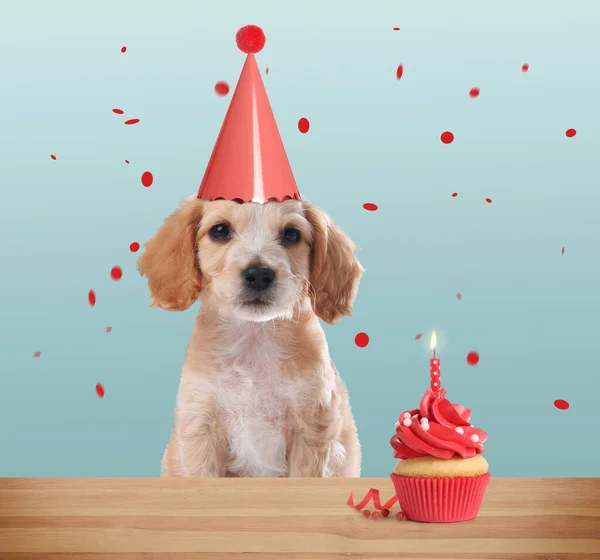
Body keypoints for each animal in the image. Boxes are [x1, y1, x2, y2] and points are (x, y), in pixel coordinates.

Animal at [138, 196, 364, 476]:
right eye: (220, 230)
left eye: (291, 234)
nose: (258, 274)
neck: (254, 338)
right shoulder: (201, 428)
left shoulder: (313, 430)